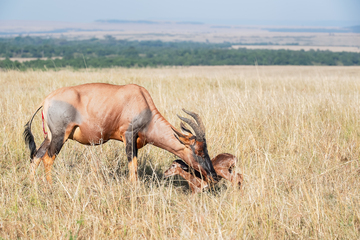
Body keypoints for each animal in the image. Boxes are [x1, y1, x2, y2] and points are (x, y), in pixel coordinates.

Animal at [24, 83, 219, 185]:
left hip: (49, 137)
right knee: (48, 158)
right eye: (199, 151)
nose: (214, 176)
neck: (142, 102)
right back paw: (49, 186)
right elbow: (133, 164)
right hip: (60, 136)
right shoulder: (129, 135)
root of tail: (46, 101)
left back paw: (31, 184)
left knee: (37, 156)